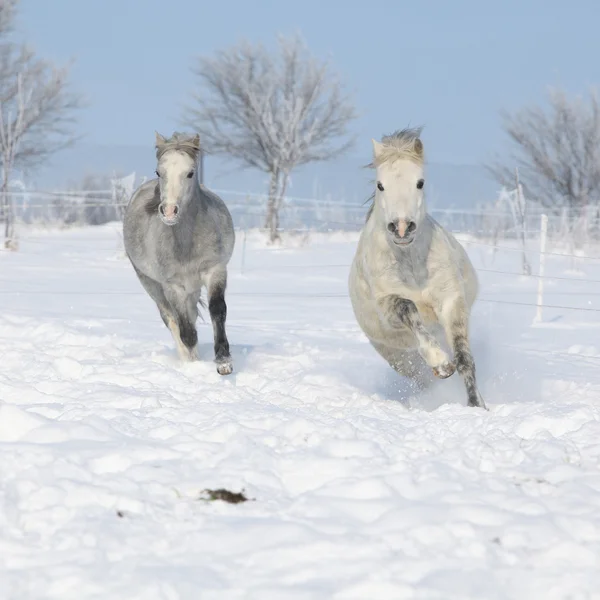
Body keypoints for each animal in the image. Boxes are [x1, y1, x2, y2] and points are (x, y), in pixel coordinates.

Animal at [350, 126, 486, 408]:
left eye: (420, 182)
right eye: (380, 185)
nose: (402, 227)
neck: (412, 265)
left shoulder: (451, 301)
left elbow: (464, 359)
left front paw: (477, 406)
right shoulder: (388, 305)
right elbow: (409, 308)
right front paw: (441, 364)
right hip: (399, 359)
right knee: (422, 379)